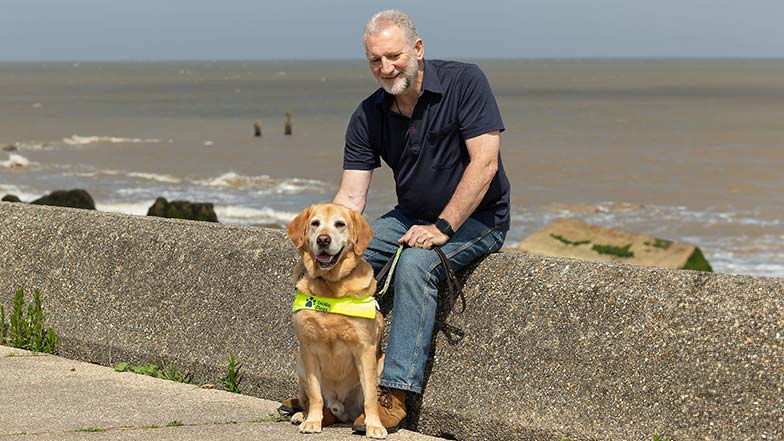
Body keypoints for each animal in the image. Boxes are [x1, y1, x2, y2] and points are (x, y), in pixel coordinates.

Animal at [286, 203, 388, 436]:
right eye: (315, 223)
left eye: (340, 224)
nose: (323, 240)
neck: (330, 290)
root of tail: (340, 408)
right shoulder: (308, 348)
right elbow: (315, 395)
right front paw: (313, 421)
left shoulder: (365, 348)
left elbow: (370, 397)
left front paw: (374, 425)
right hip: (300, 365)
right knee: (311, 400)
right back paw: (303, 415)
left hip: (380, 364)